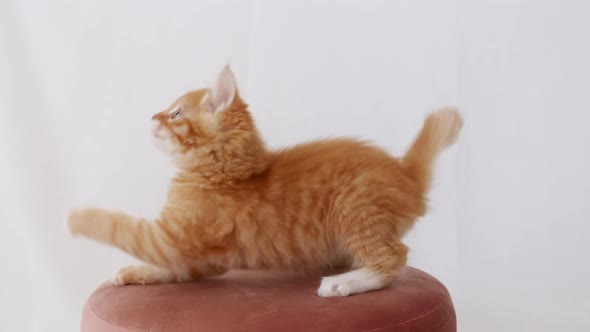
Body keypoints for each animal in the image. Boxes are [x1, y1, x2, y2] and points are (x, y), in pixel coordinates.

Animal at [69, 65, 464, 296]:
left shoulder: (171, 236)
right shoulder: (198, 255)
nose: (153, 116)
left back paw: (344, 282)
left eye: (176, 113)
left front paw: (77, 217)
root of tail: (406, 173)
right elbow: (170, 267)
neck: (219, 174)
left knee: (395, 258)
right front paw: (136, 271)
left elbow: (120, 226)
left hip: (356, 209)